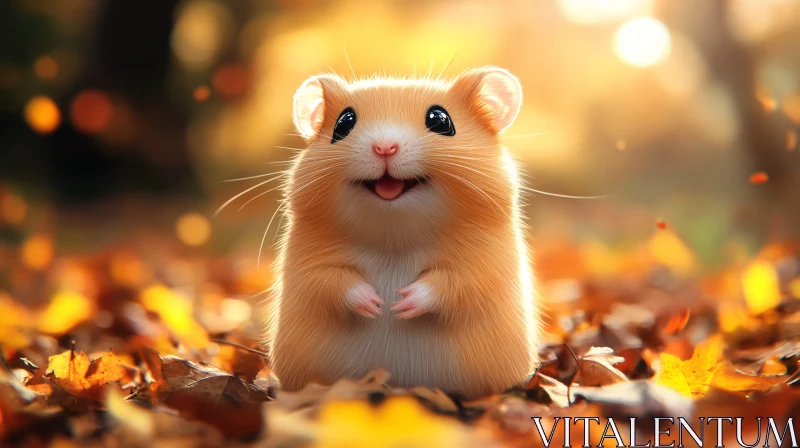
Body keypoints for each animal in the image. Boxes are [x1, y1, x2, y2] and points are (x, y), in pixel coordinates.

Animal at [265, 66, 541, 398]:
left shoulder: (482, 266)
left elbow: (453, 283)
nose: (385, 147)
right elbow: (331, 282)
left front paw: (400, 303)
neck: (393, 237)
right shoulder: (310, 267)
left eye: (440, 120)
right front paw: (376, 305)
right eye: (343, 123)